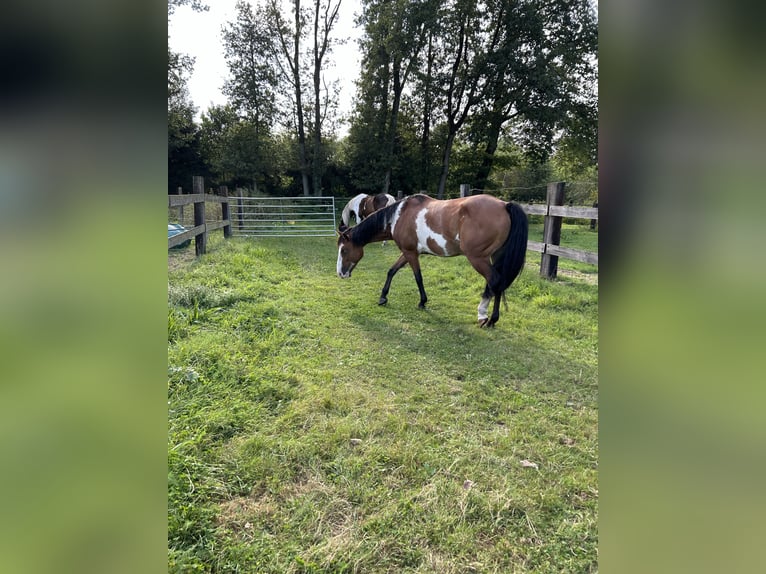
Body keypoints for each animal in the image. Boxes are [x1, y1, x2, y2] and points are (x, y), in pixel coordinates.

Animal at [340, 194, 532, 328]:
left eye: (344, 250)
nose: (341, 273)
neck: (399, 215)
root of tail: (504, 205)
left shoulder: (410, 253)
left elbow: (418, 277)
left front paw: (422, 302)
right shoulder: (409, 252)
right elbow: (392, 270)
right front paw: (383, 297)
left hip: (478, 258)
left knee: (495, 281)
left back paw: (490, 319)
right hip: (493, 257)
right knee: (495, 283)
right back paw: (484, 315)